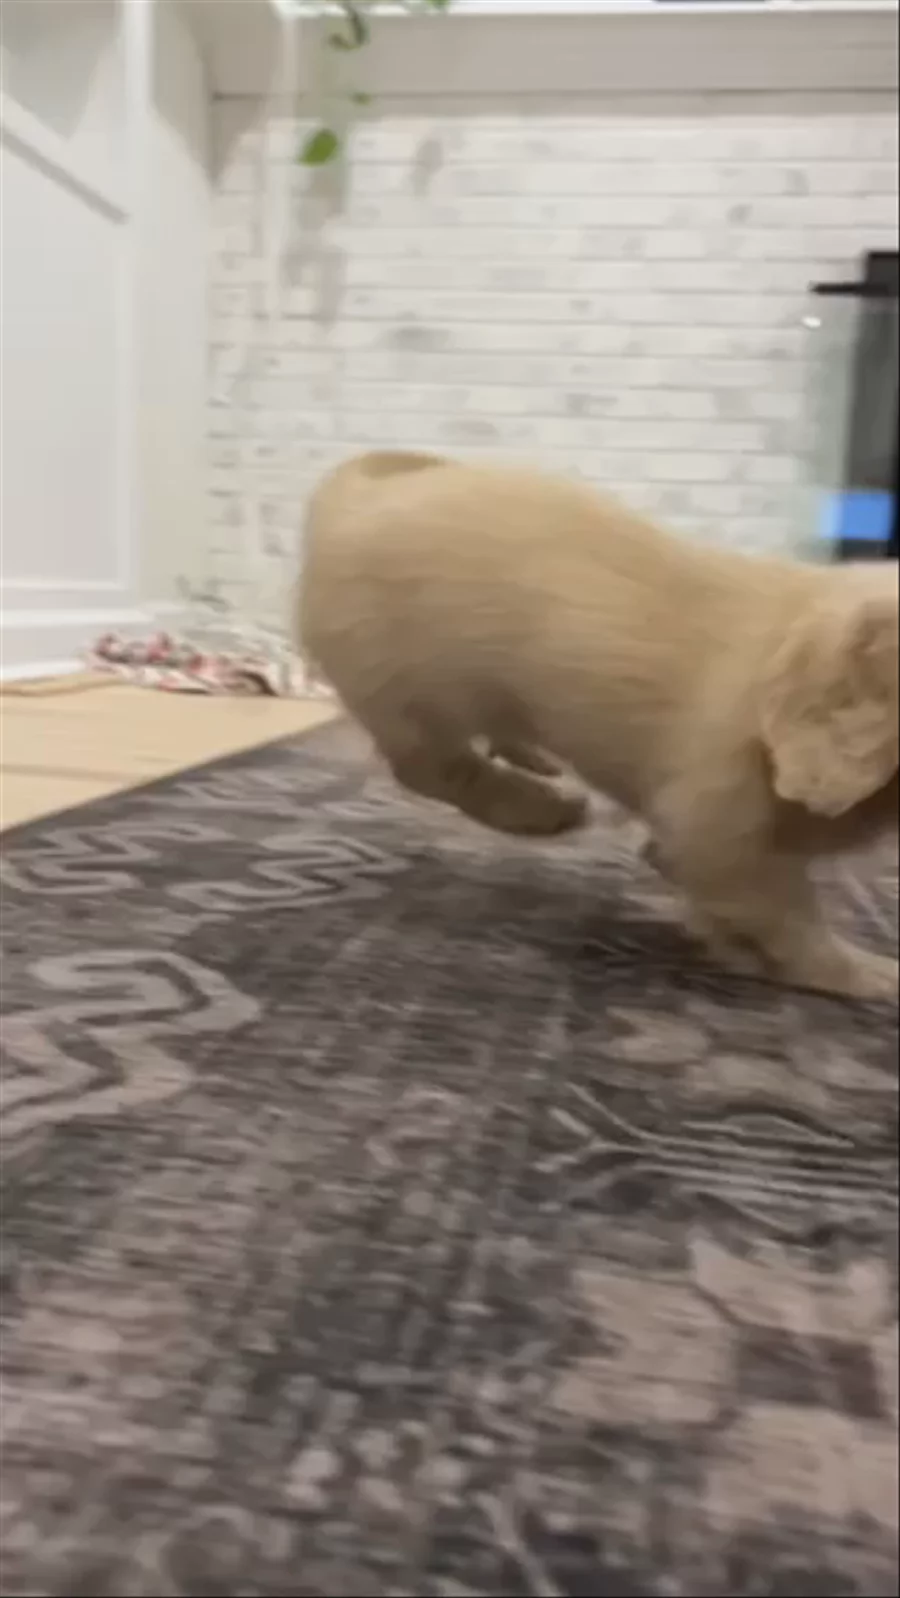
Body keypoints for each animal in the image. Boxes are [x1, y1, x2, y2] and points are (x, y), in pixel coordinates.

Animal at [298, 450, 898, 1002]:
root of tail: (354, 495)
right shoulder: (723, 829)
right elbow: (788, 916)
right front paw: (865, 973)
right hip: (416, 701)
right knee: (437, 770)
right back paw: (538, 807)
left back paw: (534, 760)